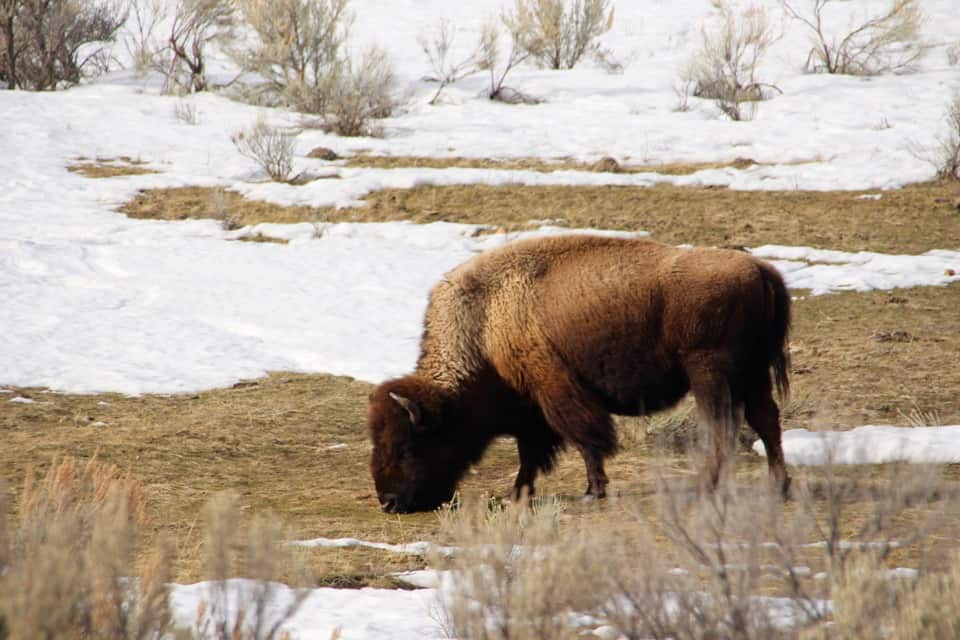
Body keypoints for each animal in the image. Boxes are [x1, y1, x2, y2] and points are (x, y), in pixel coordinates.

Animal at [368, 235, 788, 516]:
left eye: (406, 447)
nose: (389, 502)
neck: (485, 320)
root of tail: (759, 269)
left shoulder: (555, 389)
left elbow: (585, 438)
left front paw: (592, 490)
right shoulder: (531, 409)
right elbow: (533, 453)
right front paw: (520, 493)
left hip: (708, 371)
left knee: (723, 426)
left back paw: (707, 487)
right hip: (752, 372)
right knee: (765, 421)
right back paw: (778, 487)